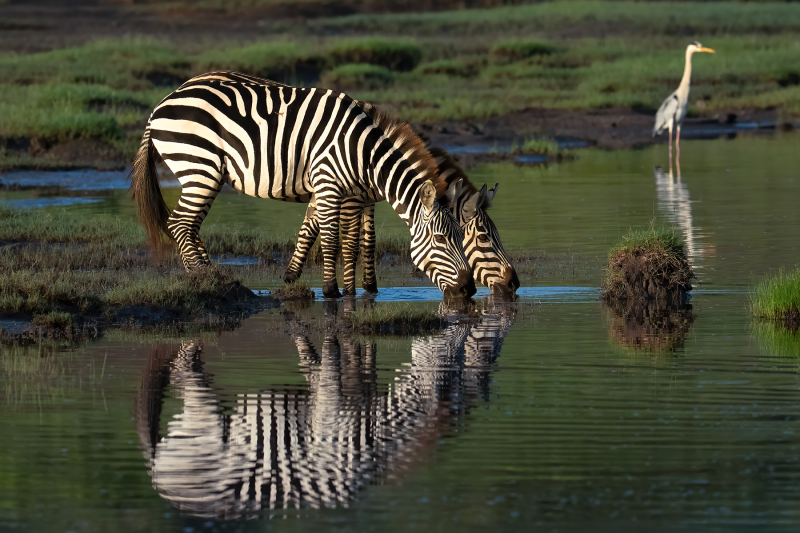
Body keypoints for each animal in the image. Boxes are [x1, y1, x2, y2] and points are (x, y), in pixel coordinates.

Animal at [129, 71, 475, 299]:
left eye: (462, 237)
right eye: (441, 239)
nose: (469, 289)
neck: (362, 151)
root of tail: (161, 104)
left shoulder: (340, 191)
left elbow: (333, 237)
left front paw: (316, 282)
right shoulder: (330, 185)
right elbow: (335, 241)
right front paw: (333, 291)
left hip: (205, 173)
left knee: (188, 226)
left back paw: (213, 276)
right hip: (199, 167)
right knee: (180, 223)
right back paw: (206, 278)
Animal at [283, 131, 520, 296]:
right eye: (483, 237)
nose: (515, 284)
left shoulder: (365, 199)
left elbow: (368, 241)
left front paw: (370, 288)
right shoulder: (348, 195)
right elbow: (340, 238)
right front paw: (294, 276)